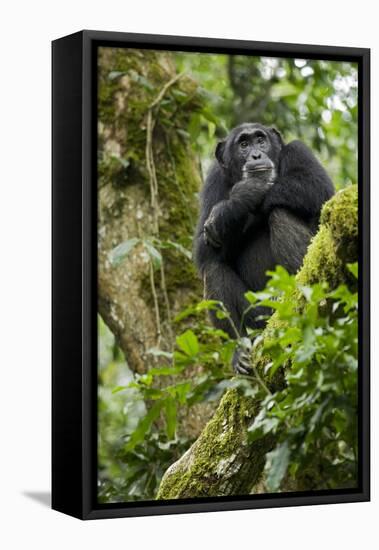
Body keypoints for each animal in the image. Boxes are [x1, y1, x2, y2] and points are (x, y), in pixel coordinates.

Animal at [194, 124, 334, 376]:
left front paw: (242, 197)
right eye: (243, 144)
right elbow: (204, 249)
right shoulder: (213, 180)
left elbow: (318, 187)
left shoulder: (299, 151)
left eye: (261, 140)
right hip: (258, 317)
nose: (256, 155)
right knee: (213, 268)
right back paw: (239, 352)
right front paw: (237, 201)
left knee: (280, 214)